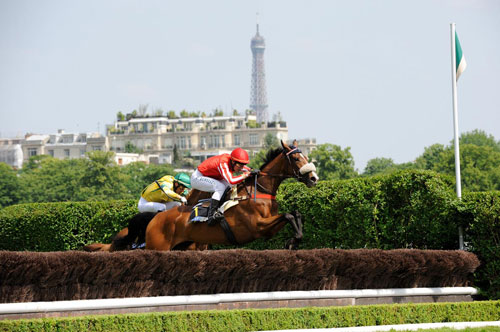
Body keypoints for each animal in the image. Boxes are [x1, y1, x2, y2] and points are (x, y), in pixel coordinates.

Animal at [145, 139, 318, 250]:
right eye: (296, 158)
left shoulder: (268, 230)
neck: (260, 191)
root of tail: (155, 219)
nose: (314, 178)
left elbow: (294, 213)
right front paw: (292, 241)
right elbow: (288, 215)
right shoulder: (257, 226)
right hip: (158, 247)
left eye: (306, 156)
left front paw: (294, 240)